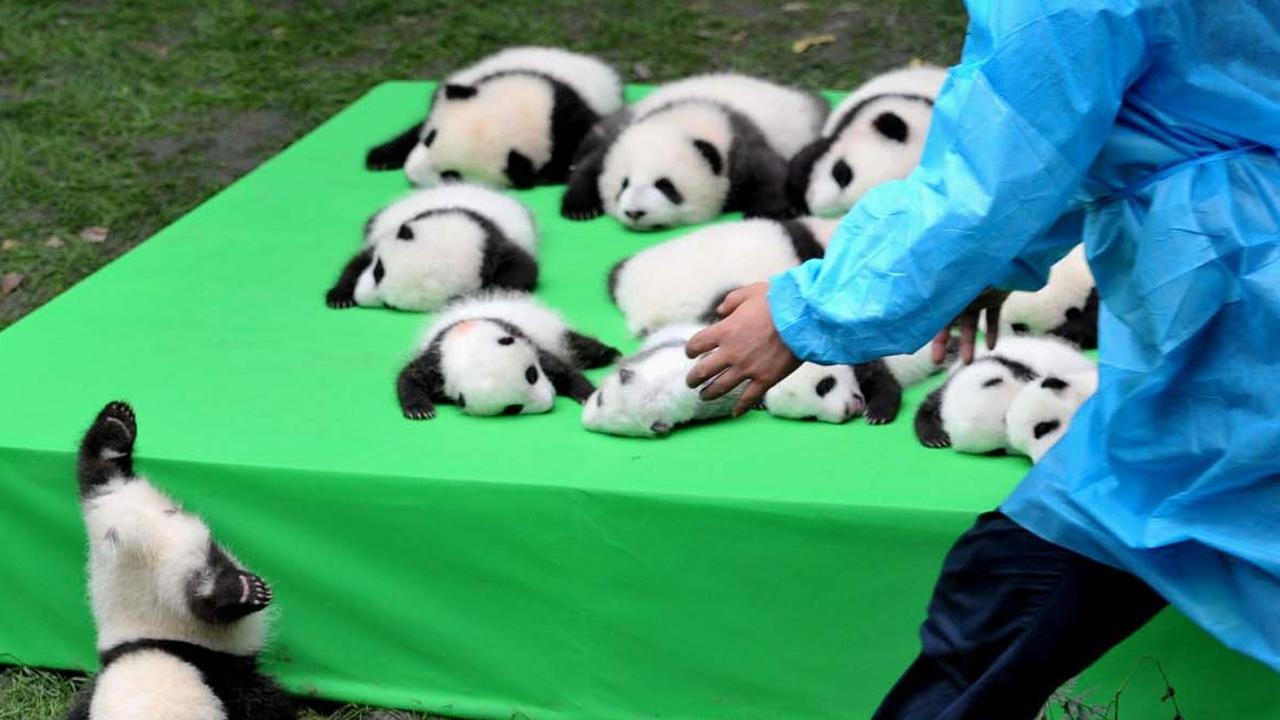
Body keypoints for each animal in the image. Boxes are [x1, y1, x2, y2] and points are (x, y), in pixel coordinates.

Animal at [63, 402, 293, 720]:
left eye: (171, 511)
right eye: (215, 556)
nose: (239, 581)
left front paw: (115, 426)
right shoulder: (225, 678)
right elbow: (268, 704)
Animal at [325, 184, 539, 312]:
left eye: (389, 305)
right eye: (379, 270)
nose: (359, 297)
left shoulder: (496, 246)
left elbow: (522, 270)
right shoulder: (390, 231)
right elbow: (359, 260)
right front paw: (339, 296)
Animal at [365, 47, 623, 188]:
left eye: (451, 175)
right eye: (429, 139)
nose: (411, 176)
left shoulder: (570, 127)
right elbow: (418, 125)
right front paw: (381, 157)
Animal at [396, 291, 619, 419]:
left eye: (532, 375)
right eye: (513, 408)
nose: (549, 401)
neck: (468, 342)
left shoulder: (526, 340)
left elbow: (562, 369)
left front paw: (587, 394)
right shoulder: (438, 360)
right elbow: (409, 377)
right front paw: (420, 409)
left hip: (554, 331)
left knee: (579, 346)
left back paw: (610, 353)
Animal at [561, 73, 829, 229]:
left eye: (665, 186)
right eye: (624, 184)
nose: (635, 212)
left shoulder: (741, 146)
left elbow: (771, 173)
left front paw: (761, 214)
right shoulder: (622, 134)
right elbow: (592, 166)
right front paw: (580, 209)